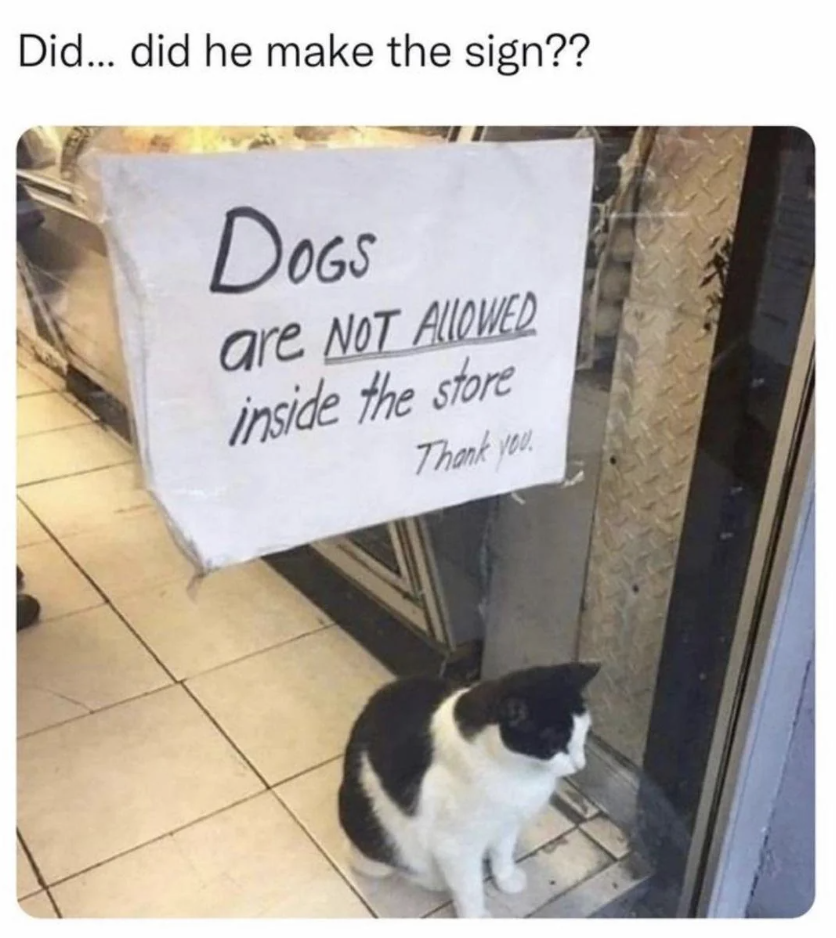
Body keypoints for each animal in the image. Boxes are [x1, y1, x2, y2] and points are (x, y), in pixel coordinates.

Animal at [340, 660, 600, 916]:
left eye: (584, 735)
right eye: (554, 746)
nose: (581, 764)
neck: (517, 773)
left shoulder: (507, 822)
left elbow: (503, 851)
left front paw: (506, 878)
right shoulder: (456, 846)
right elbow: (470, 889)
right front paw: (475, 916)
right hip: (378, 837)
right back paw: (434, 880)